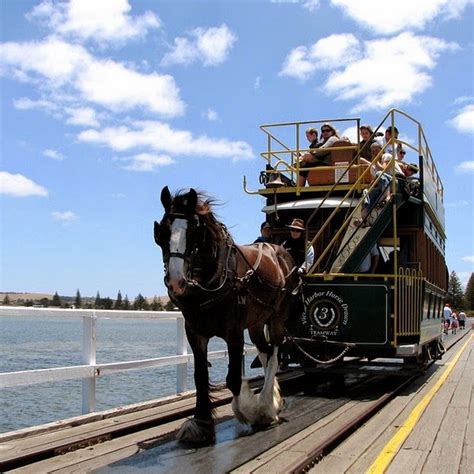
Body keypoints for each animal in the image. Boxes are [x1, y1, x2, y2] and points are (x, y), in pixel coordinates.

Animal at [154, 187, 298, 446]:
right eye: (162, 232)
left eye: (194, 232)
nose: (176, 281)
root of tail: (278, 249)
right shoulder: (195, 332)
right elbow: (200, 376)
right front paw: (200, 424)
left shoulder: (234, 332)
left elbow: (233, 379)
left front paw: (248, 410)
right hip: (256, 322)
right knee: (265, 352)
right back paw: (272, 399)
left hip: (277, 317)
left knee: (274, 354)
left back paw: (265, 407)